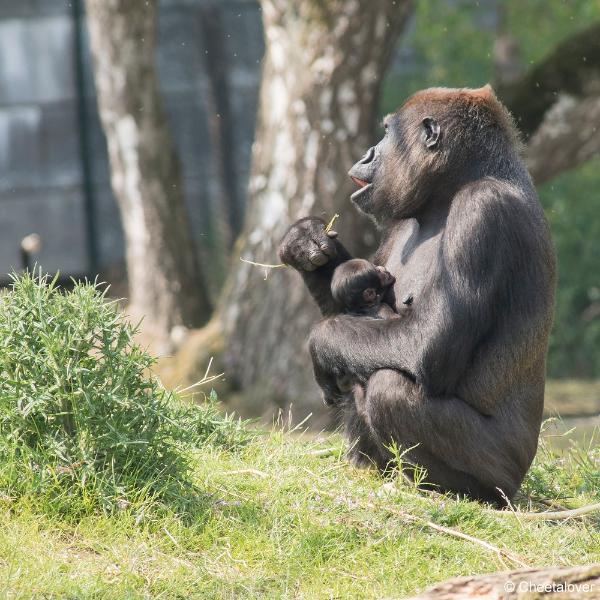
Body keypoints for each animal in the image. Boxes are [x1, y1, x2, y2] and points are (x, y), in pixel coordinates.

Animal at [278, 86, 556, 504]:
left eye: (386, 133)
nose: (367, 154)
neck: (450, 191)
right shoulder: (397, 218)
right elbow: (346, 300)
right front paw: (305, 240)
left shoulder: (483, 210)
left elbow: (427, 346)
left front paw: (319, 342)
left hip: (505, 473)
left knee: (388, 388)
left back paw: (449, 489)